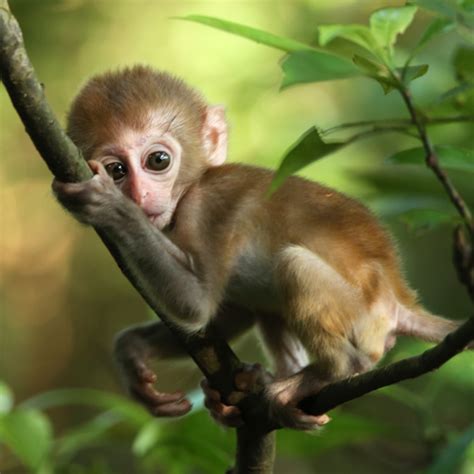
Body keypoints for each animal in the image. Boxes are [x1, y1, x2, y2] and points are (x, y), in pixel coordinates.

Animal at [52, 65, 462, 430]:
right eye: (117, 169)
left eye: (158, 160)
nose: (138, 197)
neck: (190, 190)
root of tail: (397, 296)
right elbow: (229, 315)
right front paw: (133, 351)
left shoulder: (207, 209)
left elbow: (195, 305)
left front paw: (109, 206)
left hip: (362, 315)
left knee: (294, 267)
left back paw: (323, 374)